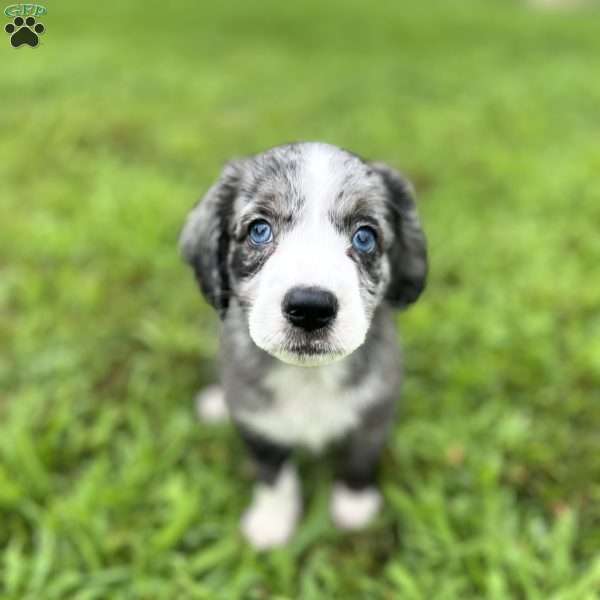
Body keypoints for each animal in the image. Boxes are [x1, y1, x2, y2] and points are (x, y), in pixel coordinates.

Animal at [179, 141, 426, 548]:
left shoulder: (377, 406)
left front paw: (354, 504)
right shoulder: (257, 421)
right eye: (259, 230)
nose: (311, 308)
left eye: (365, 236)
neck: (310, 378)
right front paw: (272, 521)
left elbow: (361, 455)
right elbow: (272, 474)